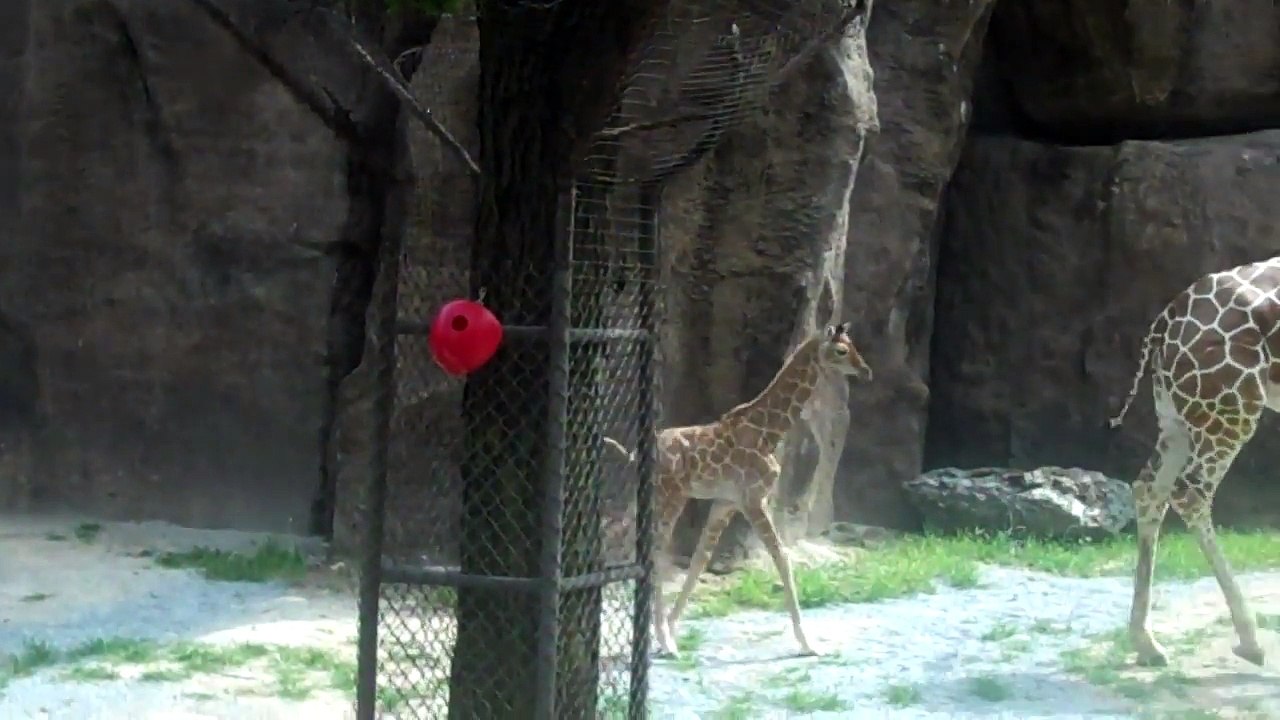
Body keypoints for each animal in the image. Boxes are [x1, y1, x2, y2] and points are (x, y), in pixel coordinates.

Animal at [604, 322, 872, 658]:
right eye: (841, 350)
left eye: (853, 345)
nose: (866, 371)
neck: (769, 432)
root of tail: (636, 454)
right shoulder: (754, 499)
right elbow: (782, 557)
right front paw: (807, 643)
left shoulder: (725, 502)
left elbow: (700, 559)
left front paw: (673, 627)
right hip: (672, 495)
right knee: (652, 552)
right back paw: (663, 640)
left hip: (654, 497)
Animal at [1109, 255, 1280, 668]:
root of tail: (1164, 323)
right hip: (1228, 407)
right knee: (1190, 492)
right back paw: (1250, 641)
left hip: (1176, 415)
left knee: (1149, 487)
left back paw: (1147, 643)